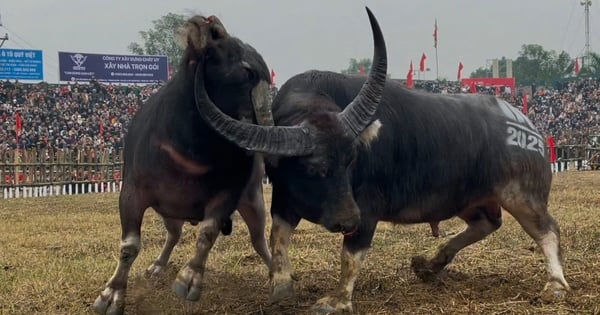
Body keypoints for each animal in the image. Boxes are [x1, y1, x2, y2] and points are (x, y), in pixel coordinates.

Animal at [95, 14, 274, 315]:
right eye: (247, 72)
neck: (190, 146)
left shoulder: (229, 194)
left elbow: (207, 234)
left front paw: (189, 279)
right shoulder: (131, 192)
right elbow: (129, 246)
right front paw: (112, 294)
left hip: (253, 200)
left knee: (259, 240)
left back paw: (278, 275)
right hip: (169, 210)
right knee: (173, 234)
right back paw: (157, 266)